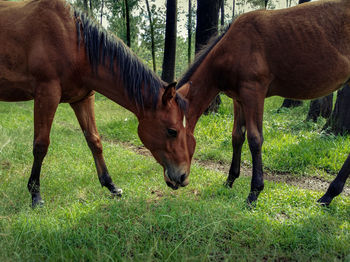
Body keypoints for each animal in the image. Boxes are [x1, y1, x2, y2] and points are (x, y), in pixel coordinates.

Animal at [0, 0, 193, 209]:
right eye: (172, 131)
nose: (183, 177)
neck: (75, 44)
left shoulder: (83, 99)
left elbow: (94, 141)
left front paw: (111, 185)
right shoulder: (47, 94)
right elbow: (41, 145)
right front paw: (35, 194)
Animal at [176, 0, 350, 206]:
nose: (175, 179)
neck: (230, 49)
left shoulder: (254, 93)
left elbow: (255, 139)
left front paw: (254, 192)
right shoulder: (239, 99)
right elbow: (237, 136)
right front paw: (230, 180)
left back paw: (329, 194)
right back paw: (329, 194)